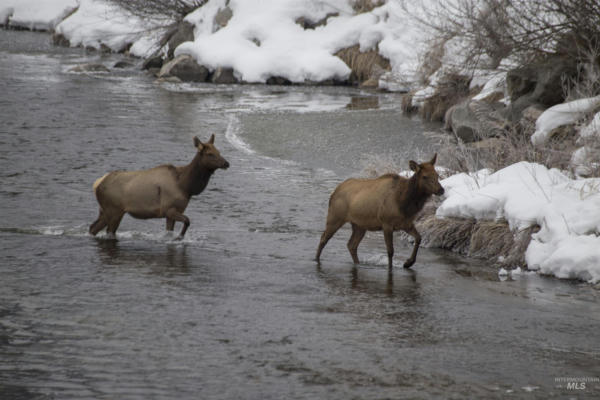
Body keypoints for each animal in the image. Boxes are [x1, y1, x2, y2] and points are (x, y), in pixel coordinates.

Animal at [89, 136, 230, 239]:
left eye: (219, 151)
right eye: (210, 154)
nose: (226, 163)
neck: (186, 187)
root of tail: (97, 184)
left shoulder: (174, 211)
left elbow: (170, 231)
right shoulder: (168, 209)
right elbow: (187, 221)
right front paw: (179, 237)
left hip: (105, 210)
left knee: (93, 228)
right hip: (114, 210)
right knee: (106, 231)